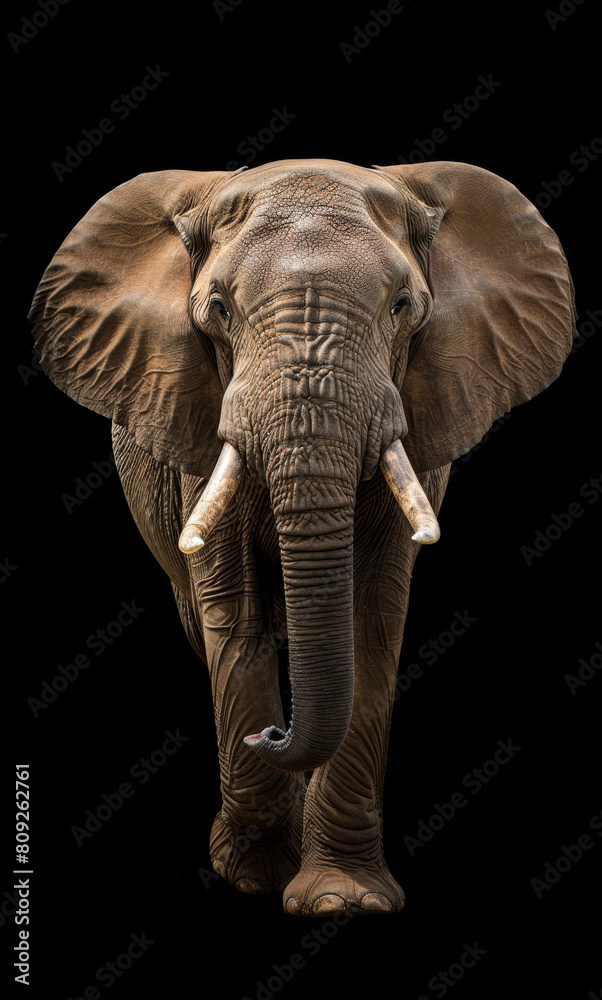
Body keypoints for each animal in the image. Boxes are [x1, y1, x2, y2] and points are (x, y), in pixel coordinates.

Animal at [29, 158, 576, 916]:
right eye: (219, 310)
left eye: (401, 306)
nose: (272, 732)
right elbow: (234, 615)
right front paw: (256, 876)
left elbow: (371, 618)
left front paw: (343, 900)